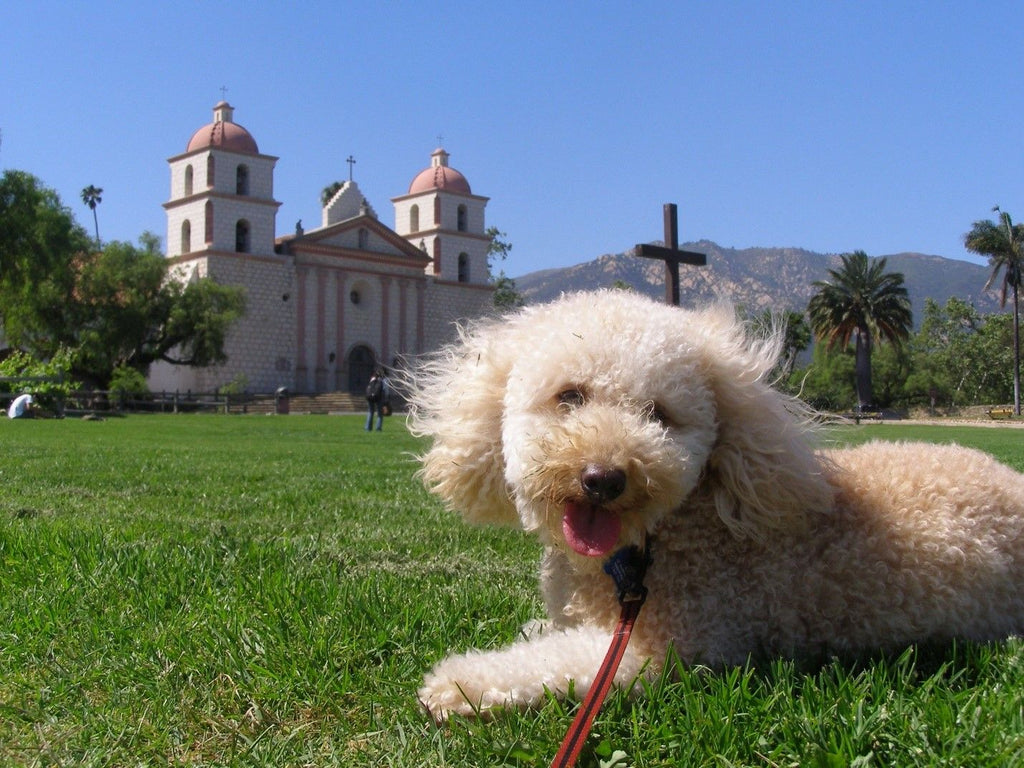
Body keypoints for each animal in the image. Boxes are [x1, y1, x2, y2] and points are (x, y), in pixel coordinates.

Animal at [407, 288, 1024, 720]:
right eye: (569, 396)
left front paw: (461, 682)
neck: (646, 549)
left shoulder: (669, 647)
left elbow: (554, 663)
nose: (603, 477)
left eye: (659, 415)